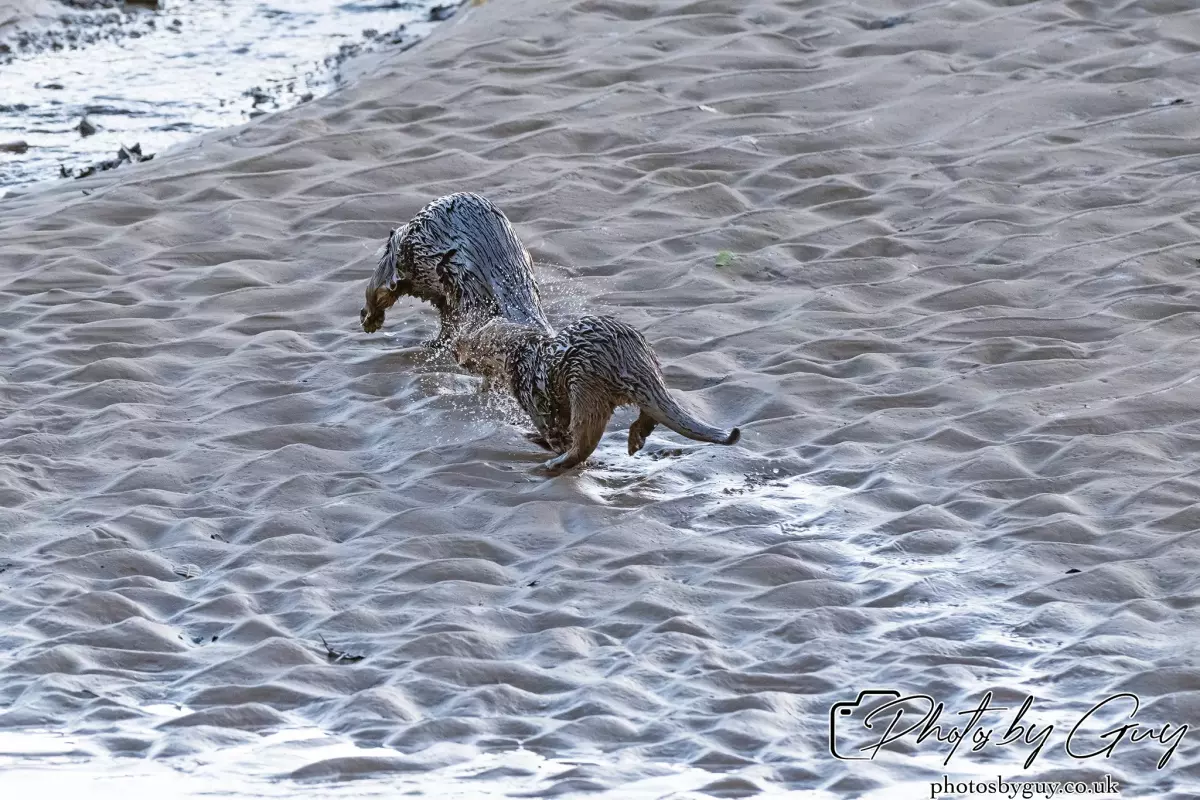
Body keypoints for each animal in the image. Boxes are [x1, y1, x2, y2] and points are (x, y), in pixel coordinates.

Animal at [455, 315, 741, 473]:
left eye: (471, 345)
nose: (457, 350)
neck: (522, 355)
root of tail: (629, 359)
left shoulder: (530, 396)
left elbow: (552, 428)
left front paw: (547, 443)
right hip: (651, 365)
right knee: (650, 412)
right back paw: (635, 440)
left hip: (585, 386)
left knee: (585, 439)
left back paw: (556, 464)